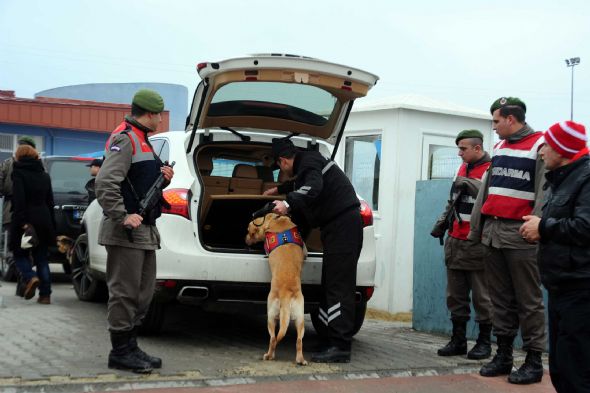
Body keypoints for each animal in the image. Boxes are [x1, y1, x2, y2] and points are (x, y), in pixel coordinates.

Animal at [246, 211, 310, 364]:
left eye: (248, 232)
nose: (245, 240)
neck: (276, 220)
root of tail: (285, 294)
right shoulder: (305, 250)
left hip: (270, 315)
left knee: (273, 338)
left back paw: (269, 355)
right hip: (300, 319)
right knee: (299, 341)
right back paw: (300, 360)